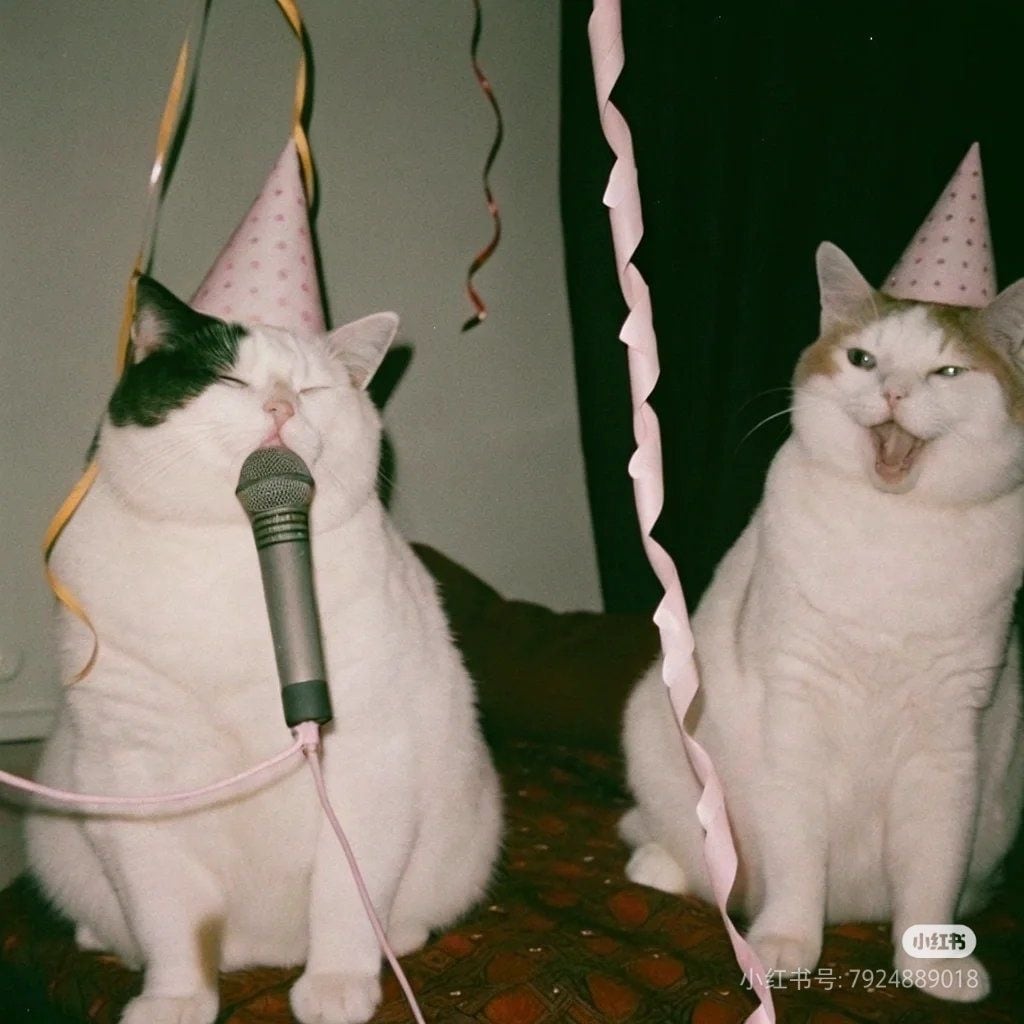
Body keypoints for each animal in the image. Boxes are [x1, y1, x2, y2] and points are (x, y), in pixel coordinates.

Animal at [26, 275, 504, 1024]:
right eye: (230, 377)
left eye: (312, 389)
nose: (281, 406)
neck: (235, 558)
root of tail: (264, 953)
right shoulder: (131, 776)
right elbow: (167, 916)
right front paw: (175, 999)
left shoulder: (367, 761)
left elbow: (346, 893)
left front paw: (338, 984)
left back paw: (395, 937)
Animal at [620, 242, 1024, 1003]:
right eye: (863, 359)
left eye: (947, 371)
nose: (893, 392)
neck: (892, 531)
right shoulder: (796, 708)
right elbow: (797, 853)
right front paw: (785, 943)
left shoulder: (948, 738)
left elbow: (934, 867)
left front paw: (930, 964)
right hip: (654, 719)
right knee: (678, 843)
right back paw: (659, 864)